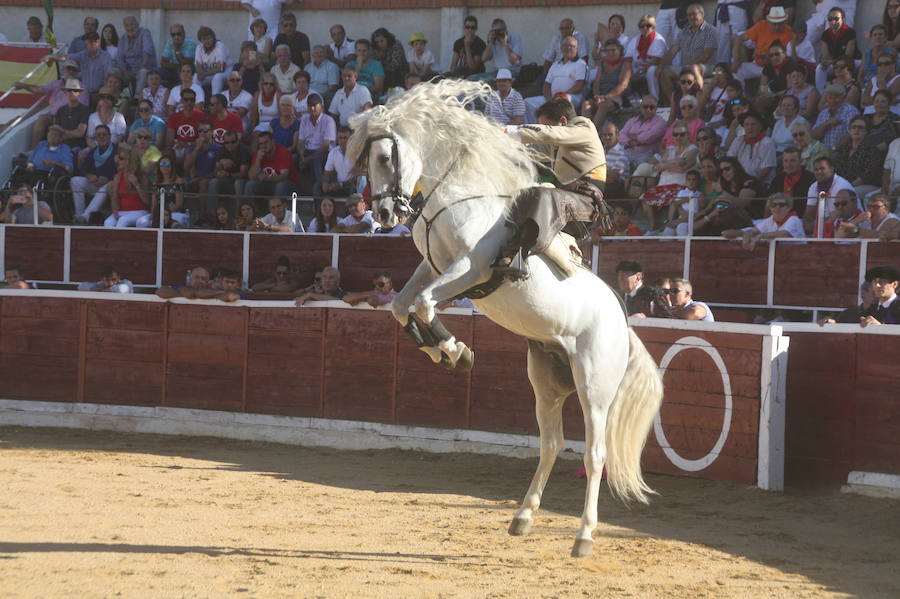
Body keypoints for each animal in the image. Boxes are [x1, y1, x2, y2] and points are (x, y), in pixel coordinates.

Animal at [348, 79, 664, 556]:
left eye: (385, 157)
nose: (385, 214)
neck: (457, 193)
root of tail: (623, 325)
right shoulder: (434, 267)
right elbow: (402, 306)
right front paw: (442, 352)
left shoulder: (471, 268)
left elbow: (424, 304)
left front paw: (456, 349)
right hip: (546, 380)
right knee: (551, 444)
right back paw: (523, 517)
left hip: (595, 386)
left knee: (595, 455)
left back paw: (584, 536)